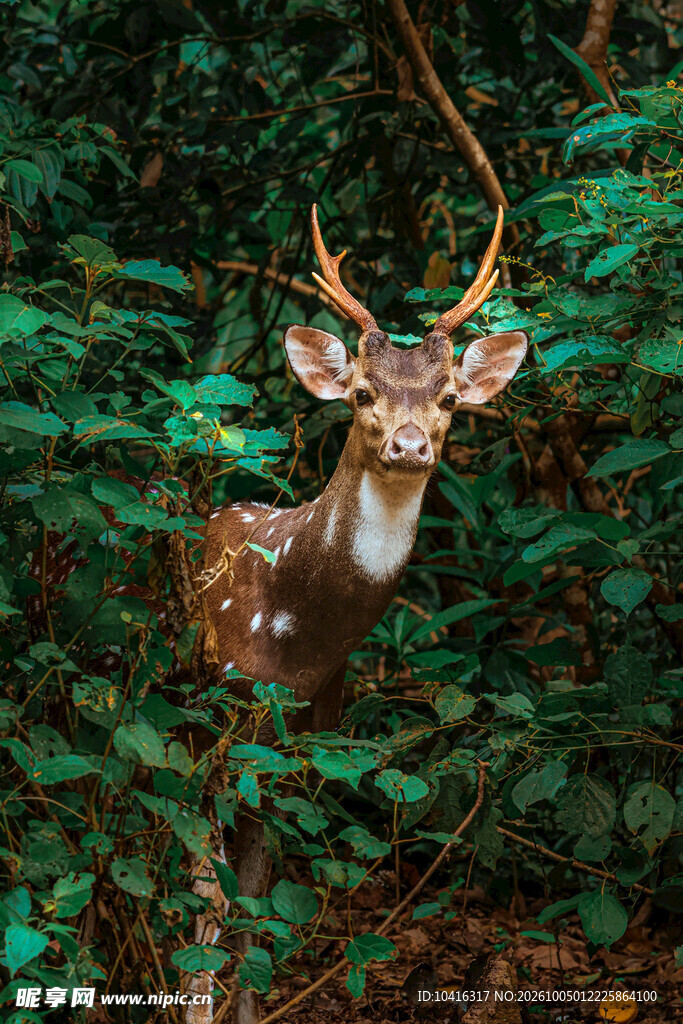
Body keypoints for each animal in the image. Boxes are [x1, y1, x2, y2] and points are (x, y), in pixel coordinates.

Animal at [184, 204, 528, 1024]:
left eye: (448, 399)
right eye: (364, 393)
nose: (408, 446)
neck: (290, 627)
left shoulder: (302, 739)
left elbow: (256, 903)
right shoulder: (217, 718)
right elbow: (210, 902)